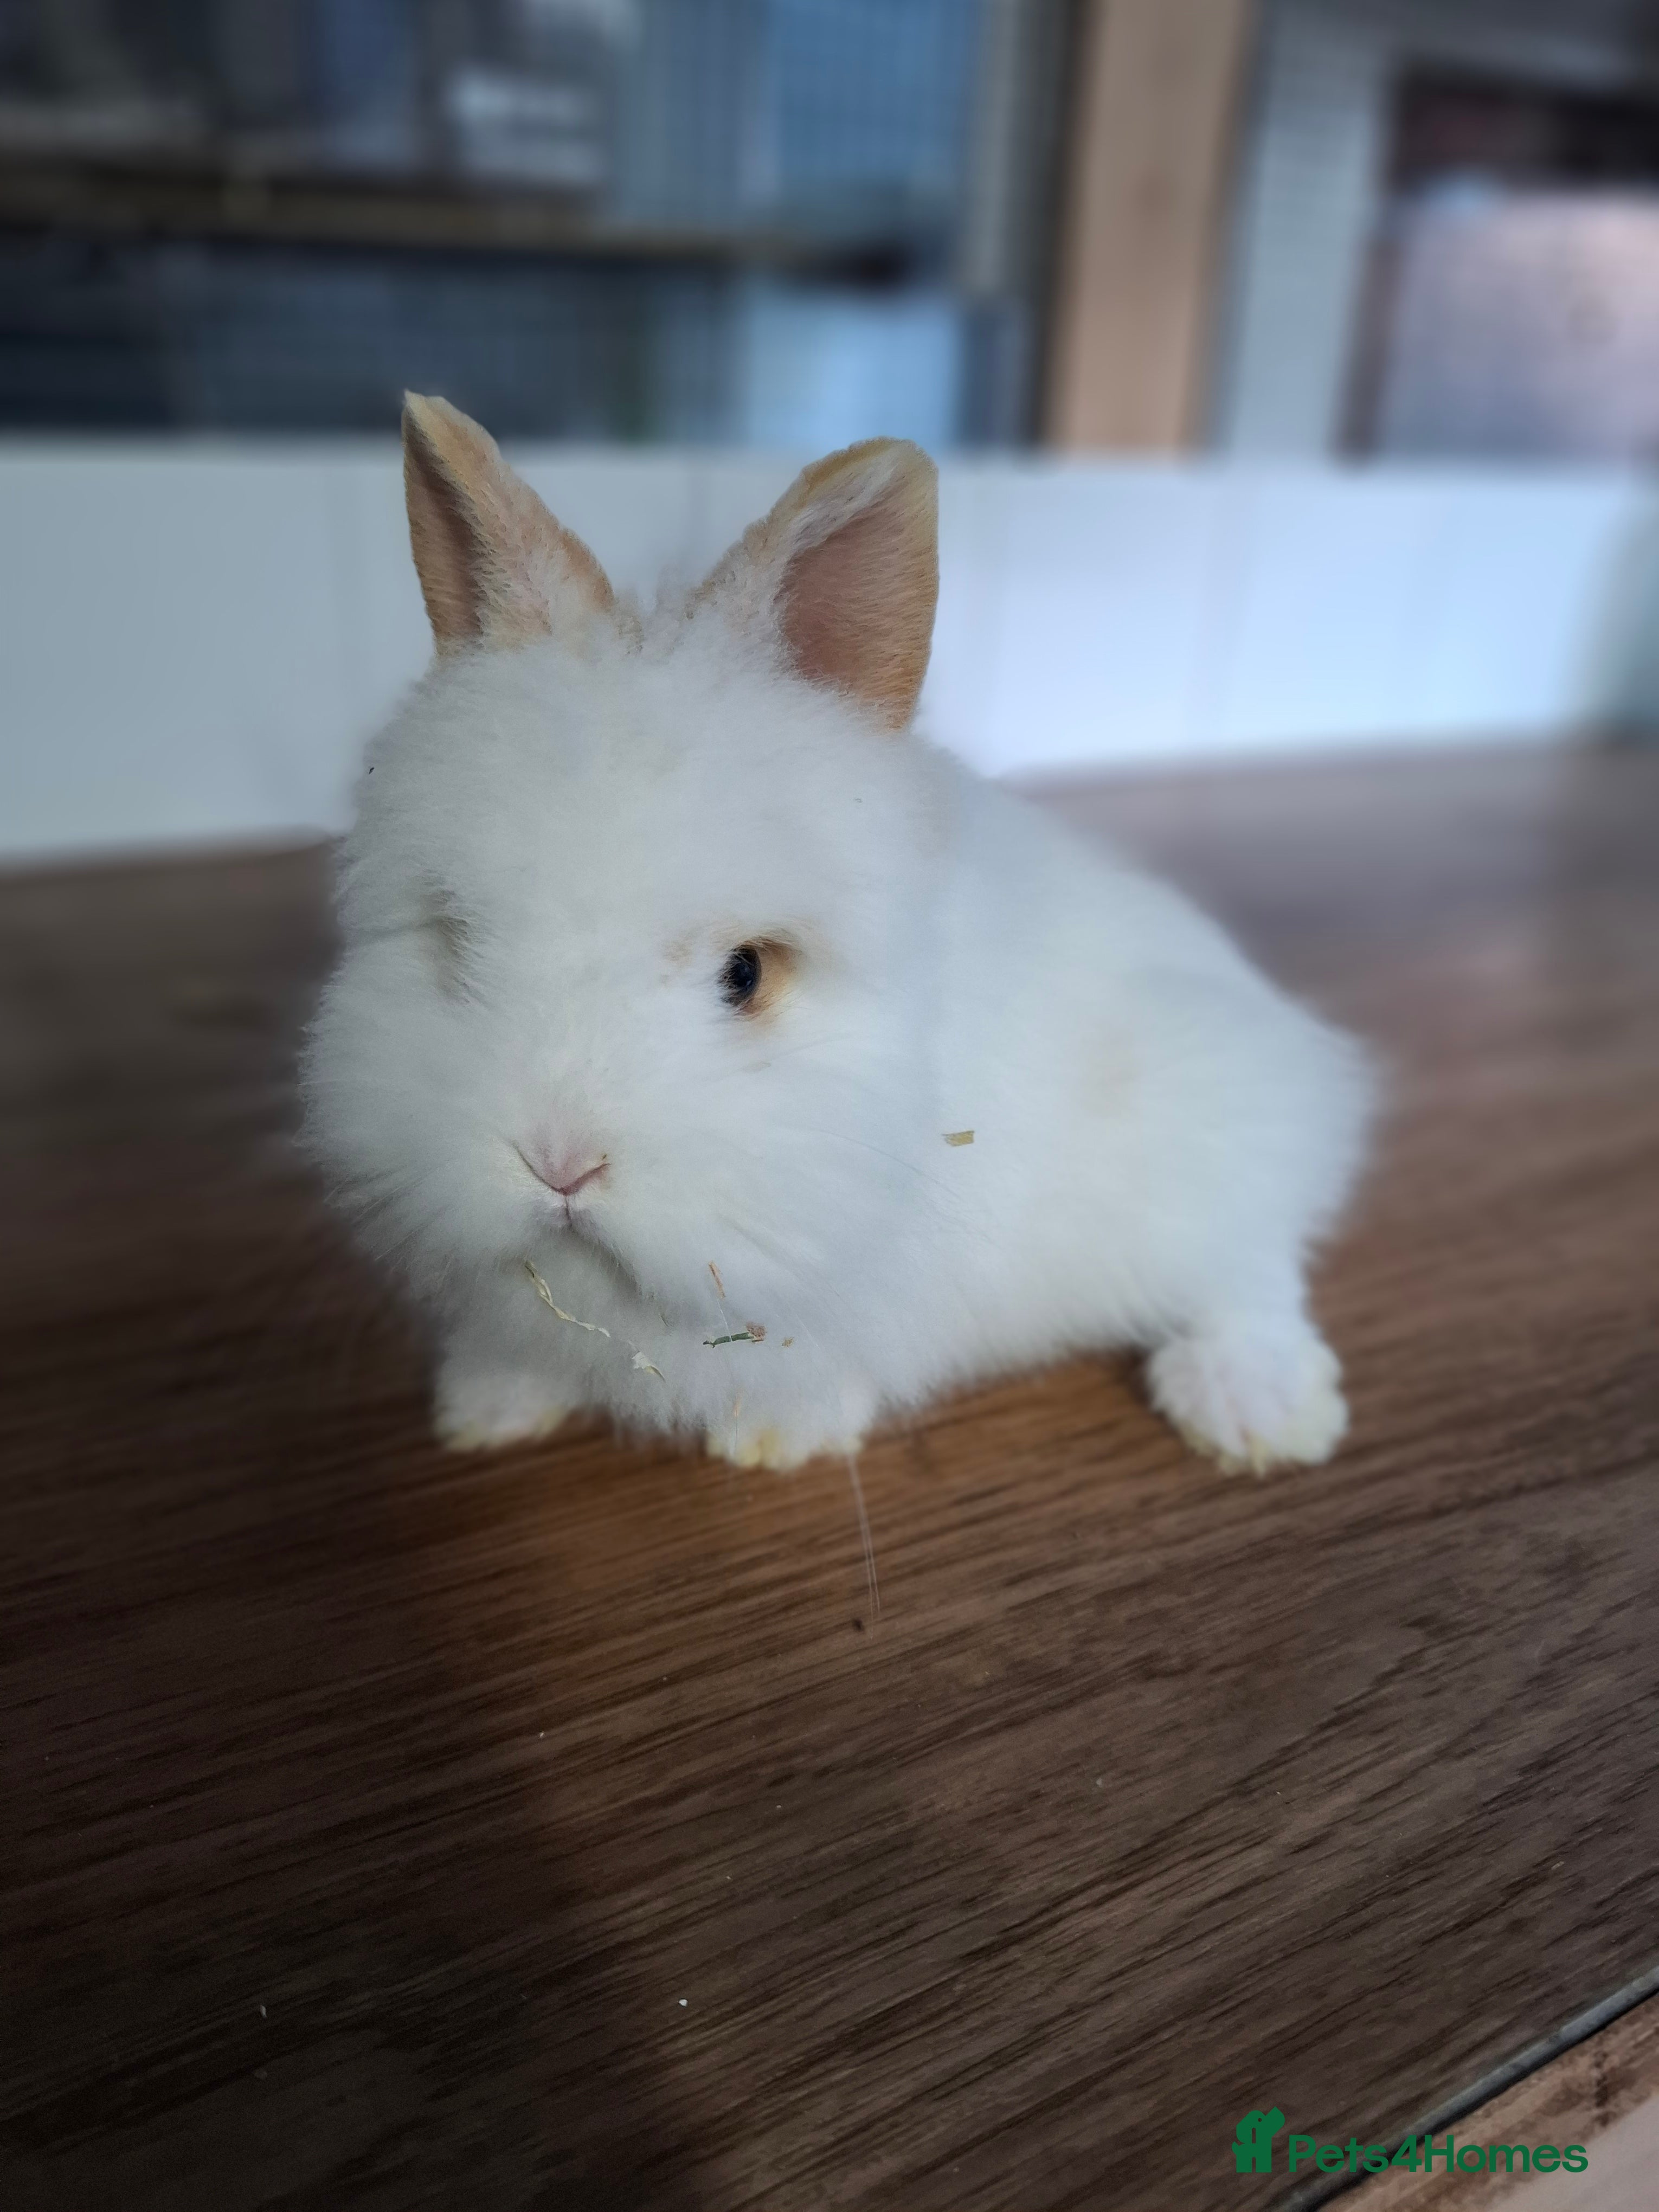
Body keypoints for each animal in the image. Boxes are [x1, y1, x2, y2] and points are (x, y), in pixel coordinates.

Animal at [302, 394, 1373, 1477]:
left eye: (745, 974)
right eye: (457, 938)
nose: (560, 1165)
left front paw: (778, 1440)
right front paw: (486, 1408)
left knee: (1250, 1268)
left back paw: (1258, 1412)